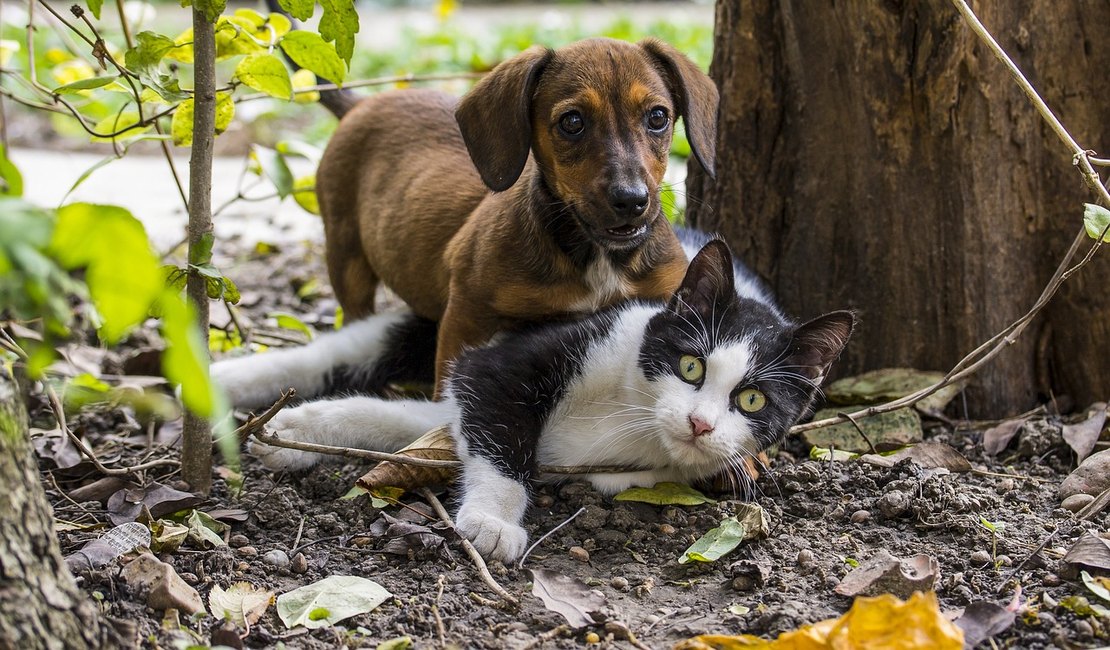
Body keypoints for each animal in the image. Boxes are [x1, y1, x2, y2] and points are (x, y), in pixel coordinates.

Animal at [208, 232, 852, 561]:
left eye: (752, 402)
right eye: (690, 365)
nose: (699, 424)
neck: (634, 413)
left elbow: (414, 422)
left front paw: (300, 431)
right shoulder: (515, 359)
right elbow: (499, 433)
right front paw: (493, 522)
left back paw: (281, 428)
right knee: (343, 350)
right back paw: (219, 383)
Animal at [317, 37, 723, 381]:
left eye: (657, 117)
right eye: (572, 122)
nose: (632, 200)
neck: (596, 257)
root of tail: (361, 104)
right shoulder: (467, 313)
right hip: (346, 257)